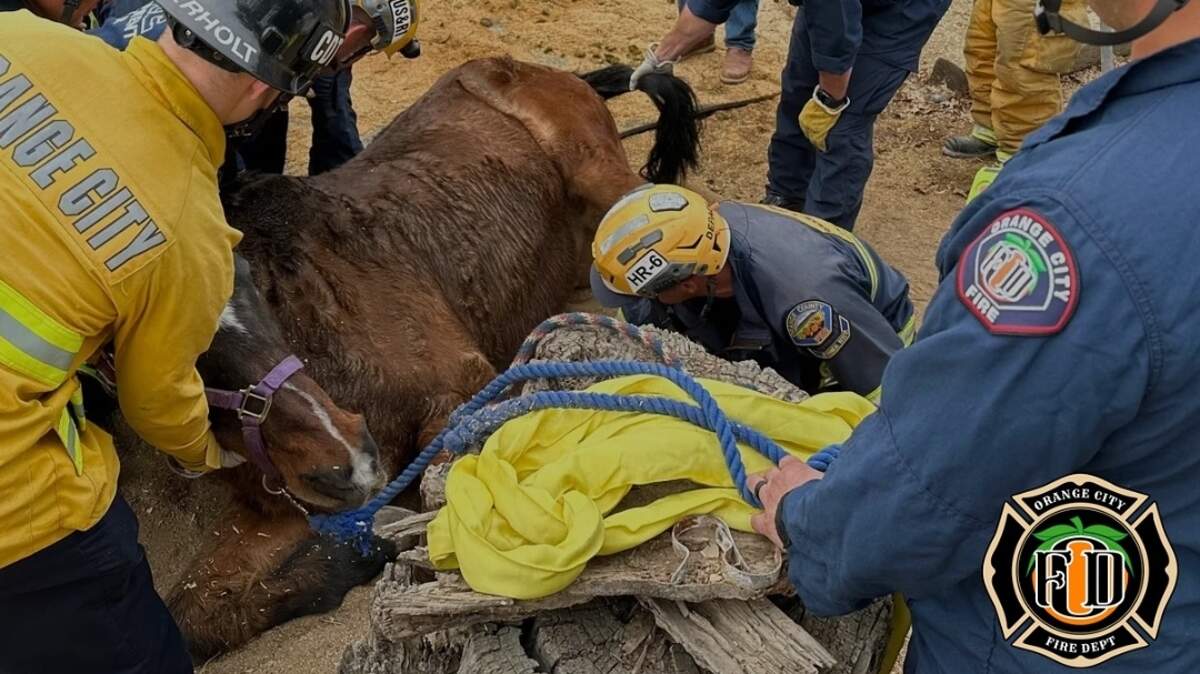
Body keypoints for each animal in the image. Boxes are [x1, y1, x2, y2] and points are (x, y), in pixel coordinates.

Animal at [114, 57, 700, 657]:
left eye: (251, 282)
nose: (350, 458)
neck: (307, 313)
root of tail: (549, 71)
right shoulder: (283, 504)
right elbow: (202, 614)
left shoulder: (461, 391)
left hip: (608, 186)